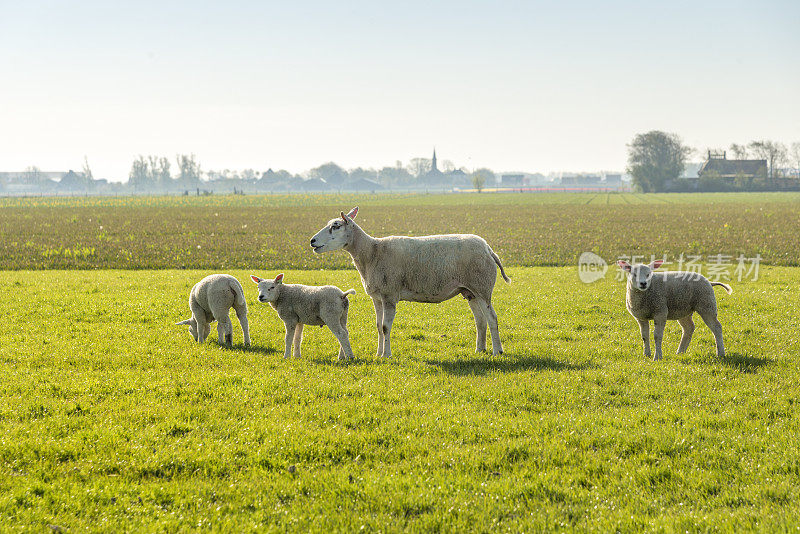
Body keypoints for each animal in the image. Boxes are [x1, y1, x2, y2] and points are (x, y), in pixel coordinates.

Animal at [310, 207, 510, 358]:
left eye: (335, 226)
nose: (312, 241)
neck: (372, 252)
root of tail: (488, 249)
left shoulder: (390, 294)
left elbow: (385, 327)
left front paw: (387, 355)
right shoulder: (377, 297)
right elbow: (378, 326)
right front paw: (378, 354)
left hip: (482, 286)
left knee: (492, 318)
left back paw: (497, 351)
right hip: (470, 291)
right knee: (480, 320)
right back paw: (480, 349)